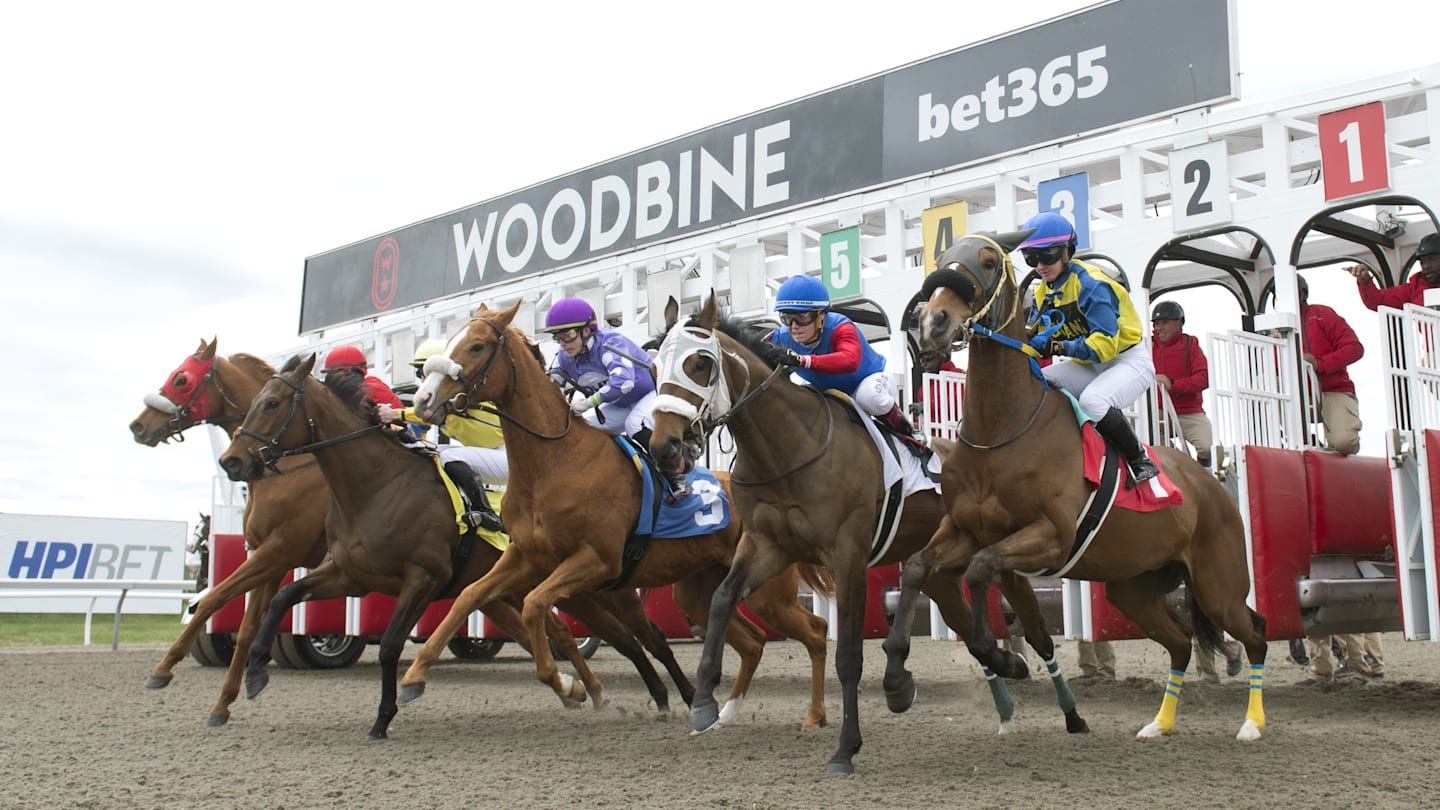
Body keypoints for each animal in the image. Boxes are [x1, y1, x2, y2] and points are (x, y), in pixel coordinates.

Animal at [130, 339, 330, 727]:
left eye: (181, 380)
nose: (138, 426)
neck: (288, 465)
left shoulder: (279, 549)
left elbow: (212, 599)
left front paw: (162, 668)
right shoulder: (269, 556)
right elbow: (247, 627)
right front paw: (223, 702)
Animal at [215, 353, 714, 739]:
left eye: (272, 403)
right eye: (253, 403)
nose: (232, 461)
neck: (377, 485)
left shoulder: (423, 577)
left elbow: (391, 644)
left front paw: (383, 717)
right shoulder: (351, 575)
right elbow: (284, 595)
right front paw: (255, 672)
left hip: (603, 586)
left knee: (646, 638)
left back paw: (677, 695)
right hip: (572, 594)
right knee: (610, 640)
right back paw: (607, 693)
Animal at [395, 302, 833, 731]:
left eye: (477, 346)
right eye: (452, 341)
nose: (424, 400)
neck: (553, 461)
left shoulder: (598, 559)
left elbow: (535, 605)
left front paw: (567, 685)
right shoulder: (527, 556)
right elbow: (469, 596)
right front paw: (413, 678)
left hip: (767, 590)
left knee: (815, 632)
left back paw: (812, 715)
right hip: (700, 591)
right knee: (753, 641)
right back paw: (723, 713)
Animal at [647, 295, 1079, 776]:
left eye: (700, 363)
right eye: (654, 367)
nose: (665, 447)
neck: (788, 448)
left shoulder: (847, 554)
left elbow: (848, 655)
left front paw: (845, 749)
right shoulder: (767, 545)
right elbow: (722, 599)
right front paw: (704, 702)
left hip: (1008, 548)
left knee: (1037, 630)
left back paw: (1070, 714)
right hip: (940, 573)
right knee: (968, 630)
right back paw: (1002, 691)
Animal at [896, 229, 1268, 741]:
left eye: (988, 261)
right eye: (942, 259)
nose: (932, 323)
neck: (1002, 431)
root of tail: (1210, 484)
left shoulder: (1051, 536)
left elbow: (979, 569)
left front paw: (1005, 659)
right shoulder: (966, 529)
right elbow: (917, 567)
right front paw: (896, 674)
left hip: (1219, 585)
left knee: (1255, 632)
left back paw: (1251, 723)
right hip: (1132, 587)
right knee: (1180, 640)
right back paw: (1160, 724)